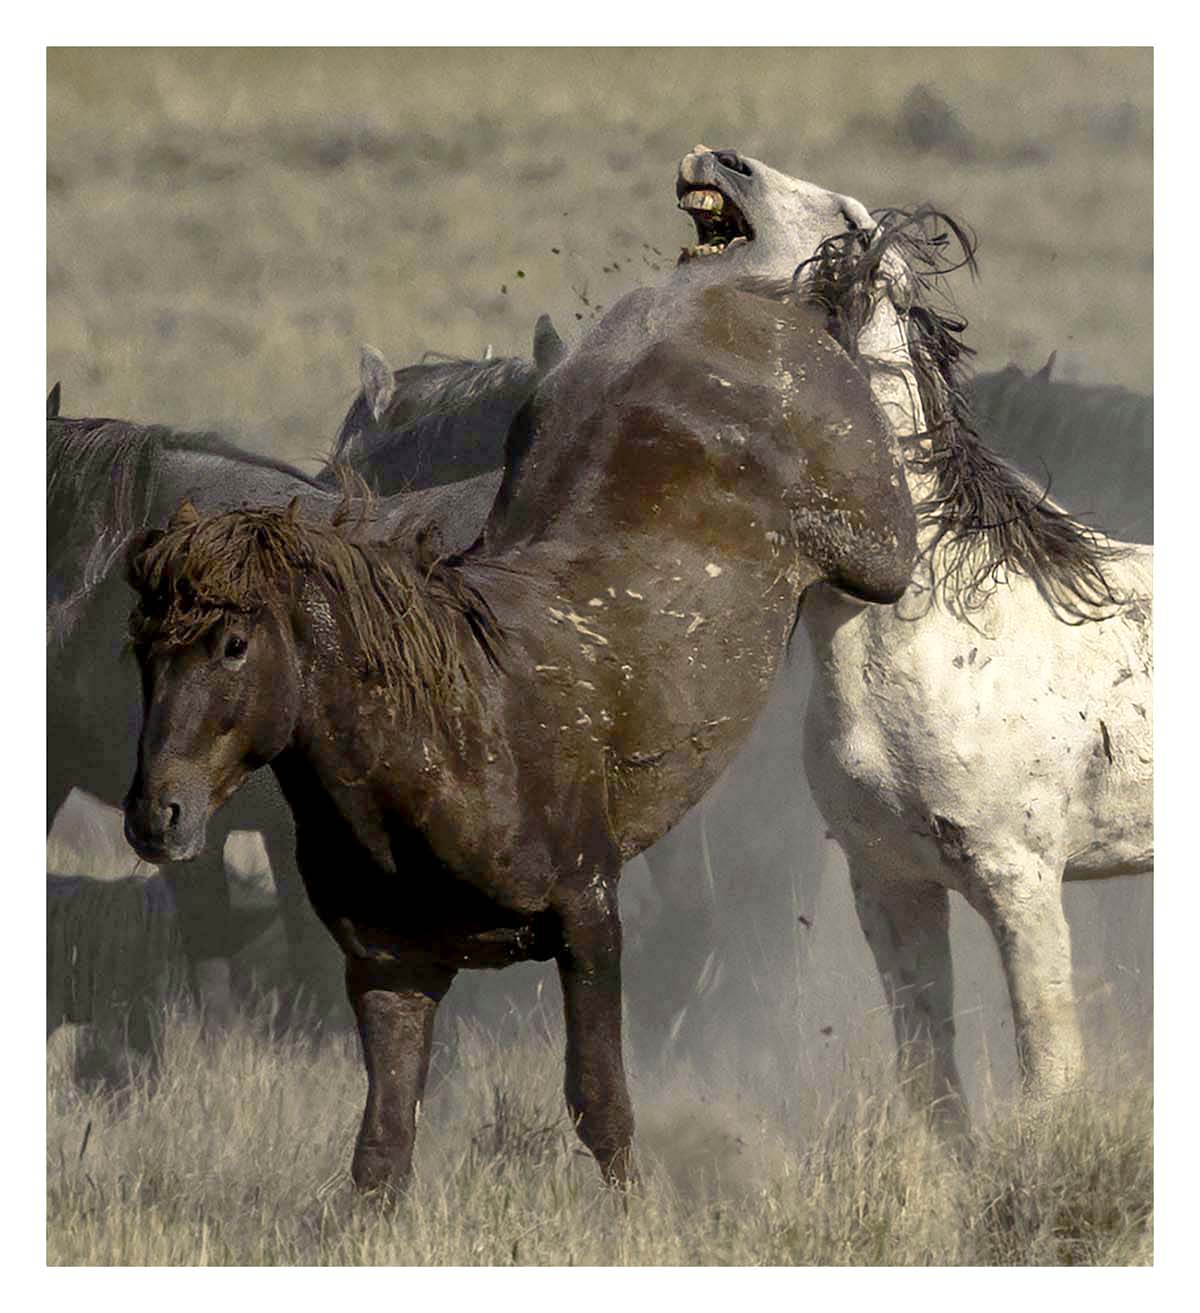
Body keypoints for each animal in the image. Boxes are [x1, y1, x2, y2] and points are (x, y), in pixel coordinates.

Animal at [122, 272, 918, 1192]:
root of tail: (724, 292)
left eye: (234, 644)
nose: (156, 814)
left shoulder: (590, 918)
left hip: (877, 547)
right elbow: (382, 1147)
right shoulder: (392, 968)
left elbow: (601, 1106)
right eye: (140, 647)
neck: (454, 732)